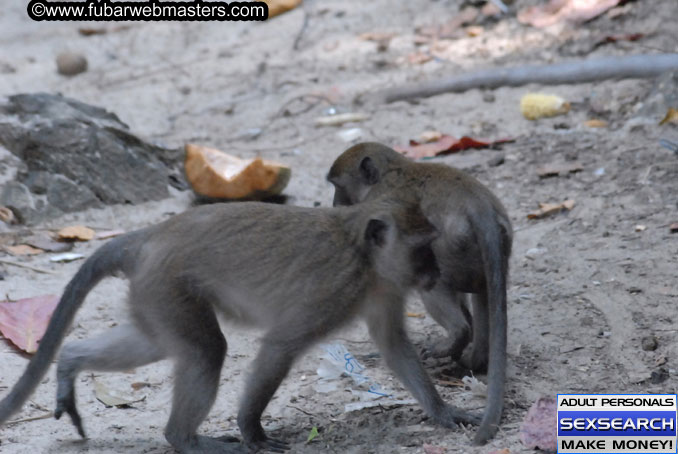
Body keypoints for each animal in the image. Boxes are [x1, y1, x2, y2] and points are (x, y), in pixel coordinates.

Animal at [0, 198, 478, 454]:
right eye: (422, 250)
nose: (435, 272)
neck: (365, 256)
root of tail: (151, 235)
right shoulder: (337, 290)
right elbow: (281, 346)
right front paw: (253, 430)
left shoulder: (385, 289)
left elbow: (394, 345)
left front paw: (443, 412)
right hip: (168, 285)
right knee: (206, 350)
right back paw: (184, 438)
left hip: (153, 292)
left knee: (157, 344)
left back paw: (69, 362)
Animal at [326, 144, 512, 446]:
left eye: (338, 186)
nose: (334, 203)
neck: (391, 171)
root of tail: (479, 205)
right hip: (479, 252)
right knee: (483, 292)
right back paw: (474, 359)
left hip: (449, 247)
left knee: (439, 292)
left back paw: (455, 340)